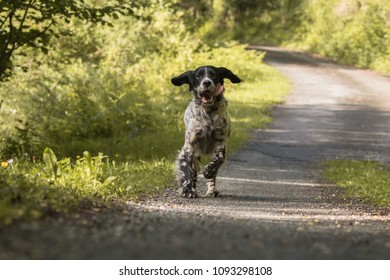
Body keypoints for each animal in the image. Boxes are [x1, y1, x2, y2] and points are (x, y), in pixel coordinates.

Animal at [171, 65, 241, 198]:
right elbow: (186, 170)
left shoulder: (220, 143)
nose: (207, 82)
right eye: (198, 76)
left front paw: (209, 170)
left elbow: (218, 160)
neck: (209, 113)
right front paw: (188, 190)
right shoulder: (190, 147)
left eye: (213, 74)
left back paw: (212, 190)